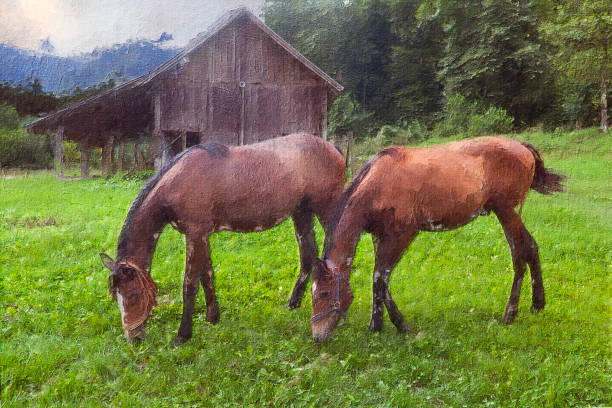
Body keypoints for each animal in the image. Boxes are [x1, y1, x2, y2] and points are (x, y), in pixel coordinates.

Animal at [102, 134, 346, 344]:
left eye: (133, 295)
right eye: (115, 296)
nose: (134, 338)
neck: (179, 179)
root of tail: (335, 149)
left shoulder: (195, 235)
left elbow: (190, 284)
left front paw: (183, 335)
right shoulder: (202, 236)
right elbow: (207, 276)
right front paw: (212, 318)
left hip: (326, 210)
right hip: (302, 212)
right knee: (308, 257)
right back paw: (293, 304)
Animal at [310, 136, 564, 342]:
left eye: (323, 293)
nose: (317, 336)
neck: (379, 181)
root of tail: (521, 146)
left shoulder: (402, 235)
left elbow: (380, 277)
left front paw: (394, 324)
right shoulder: (379, 236)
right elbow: (380, 279)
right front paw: (380, 323)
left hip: (507, 213)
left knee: (519, 256)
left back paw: (510, 314)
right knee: (531, 248)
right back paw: (537, 304)